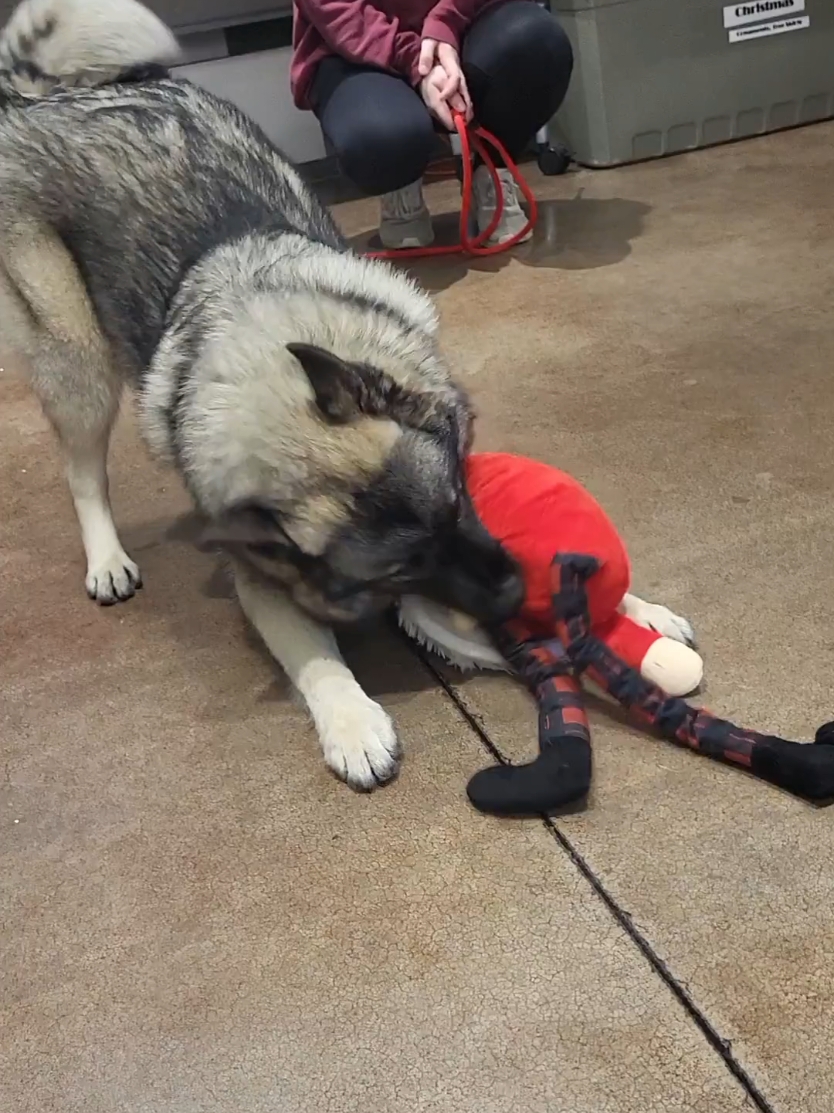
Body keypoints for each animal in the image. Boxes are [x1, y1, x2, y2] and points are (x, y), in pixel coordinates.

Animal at [0, 0, 527, 792]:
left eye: (456, 506)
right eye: (403, 567)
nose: (518, 595)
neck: (265, 371)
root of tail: (44, 97)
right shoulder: (262, 580)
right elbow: (314, 655)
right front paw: (352, 721)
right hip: (77, 359)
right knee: (83, 471)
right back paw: (106, 558)